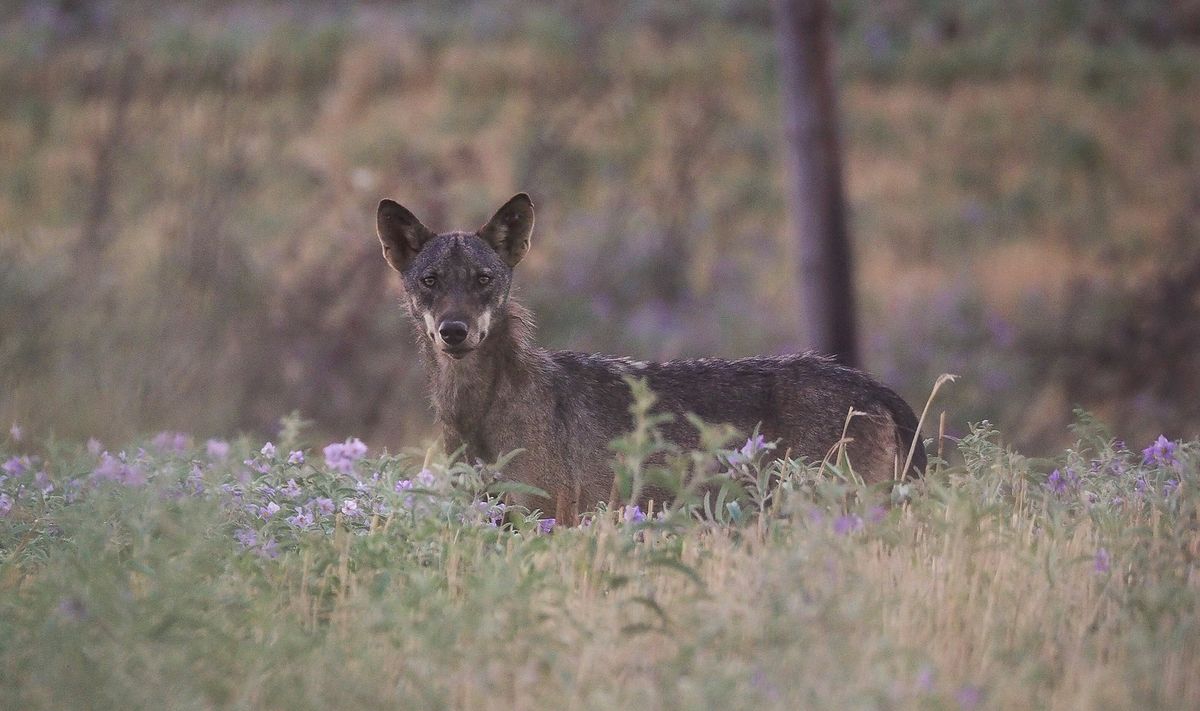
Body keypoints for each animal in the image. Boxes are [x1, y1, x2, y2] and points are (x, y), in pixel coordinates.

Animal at [377, 193, 925, 523]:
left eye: (483, 280)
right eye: (431, 281)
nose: (454, 331)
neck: (478, 413)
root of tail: (873, 386)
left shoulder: (550, 518)